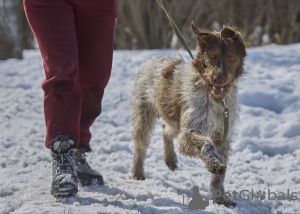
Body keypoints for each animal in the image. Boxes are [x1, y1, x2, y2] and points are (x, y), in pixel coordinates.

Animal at [131, 22, 246, 207]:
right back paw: (137, 172)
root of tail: (151, 59)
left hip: (176, 121)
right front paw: (214, 163)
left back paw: (170, 159)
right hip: (144, 116)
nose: (218, 79)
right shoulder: (190, 133)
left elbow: (218, 176)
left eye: (231, 58)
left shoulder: (222, 136)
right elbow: (206, 145)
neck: (216, 98)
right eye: (212, 56)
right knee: (140, 146)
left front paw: (220, 198)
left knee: (165, 129)